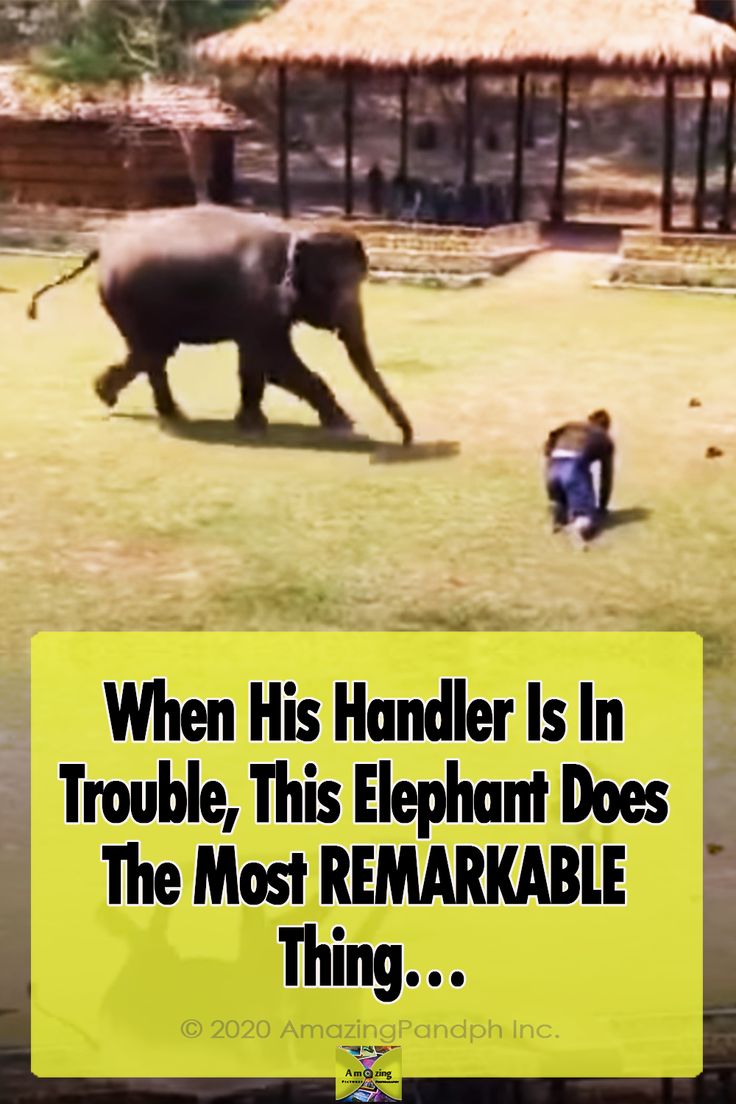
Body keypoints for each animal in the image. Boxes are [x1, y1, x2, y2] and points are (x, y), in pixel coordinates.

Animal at [27, 207, 414, 443]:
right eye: (330, 287)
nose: (408, 439)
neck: (295, 234)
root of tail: (103, 247)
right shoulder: (259, 301)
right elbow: (276, 362)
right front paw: (343, 427)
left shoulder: (262, 310)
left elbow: (260, 365)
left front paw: (252, 425)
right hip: (128, 297)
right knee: (152, 353)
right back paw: (127, 400)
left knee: (154, 353)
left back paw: (124, 398)